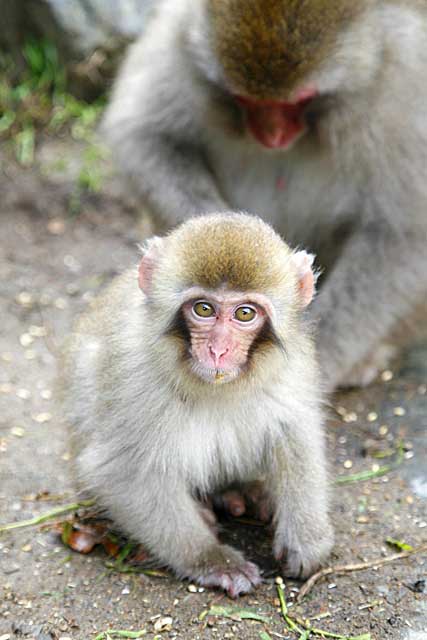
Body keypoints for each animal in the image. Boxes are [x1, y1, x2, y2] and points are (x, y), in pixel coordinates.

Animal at [61, 212, 334, 596]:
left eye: (245, 314)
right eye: (203, 309)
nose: (218, 350)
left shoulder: (294, 365)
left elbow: (296, 433)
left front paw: (306, 537)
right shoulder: (132, 375)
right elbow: (120, 469)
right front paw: (212, 559)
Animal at [103, 1, 427, 390]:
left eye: (301, 101)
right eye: (244, 99)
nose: (271, 136)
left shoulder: (407, 83)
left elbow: (401, 234)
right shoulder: (180, 35)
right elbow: (145, 138)